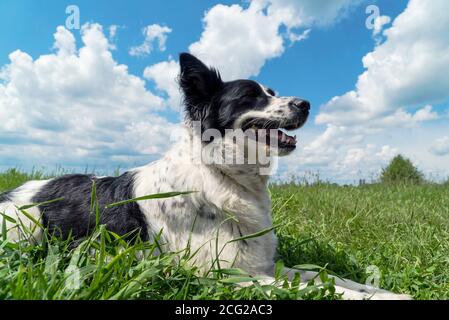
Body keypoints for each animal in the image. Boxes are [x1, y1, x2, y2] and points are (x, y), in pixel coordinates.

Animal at [0, 53, 410, 300]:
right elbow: (326, 291)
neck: (223, 175)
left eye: (272, 92)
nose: (307, 104)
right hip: (28, 228)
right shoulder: (229, 274)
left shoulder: (260, 265)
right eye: (251, 96)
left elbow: (334, 278)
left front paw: (387, 292)